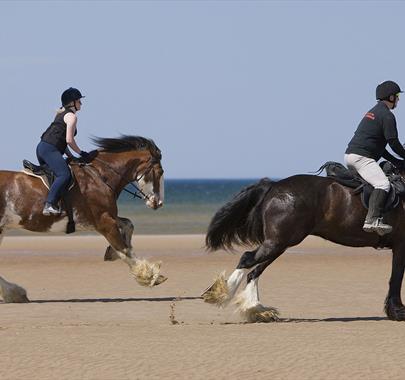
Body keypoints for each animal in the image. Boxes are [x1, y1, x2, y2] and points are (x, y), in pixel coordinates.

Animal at [0, 134, 166, 302]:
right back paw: (14, 293)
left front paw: (111, 253)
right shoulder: (104, 221)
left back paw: (14, 293)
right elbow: (125, 250)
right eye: (160, 172)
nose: (158, 203)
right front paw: (150, 276)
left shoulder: (104, 217)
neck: (99, 176)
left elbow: (128, 224)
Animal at [204, 174, 404, 322]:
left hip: (280, 244)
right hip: (278, 242)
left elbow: (395, 277)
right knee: (247, 259)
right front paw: (398, 312)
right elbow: (396, 277)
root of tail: (274, 186)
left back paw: (256, 310)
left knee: (254, 271)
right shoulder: (400, 245)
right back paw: (224, 295)